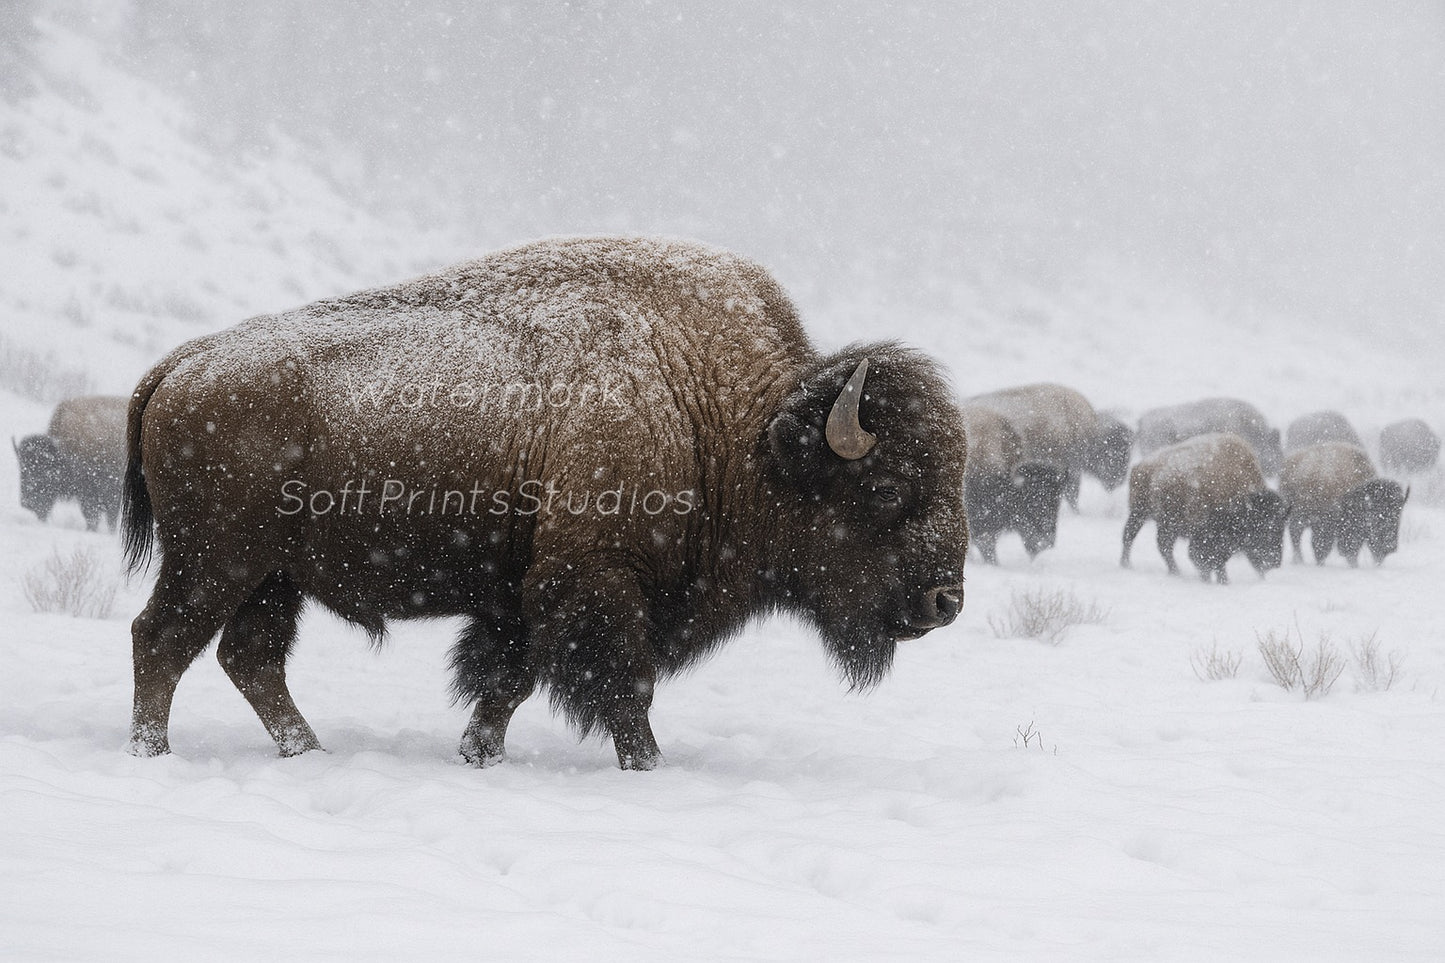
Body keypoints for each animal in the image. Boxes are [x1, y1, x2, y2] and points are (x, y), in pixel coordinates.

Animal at [121, 236, 970, 770]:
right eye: (887, 489)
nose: (945, 601)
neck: (727, 418)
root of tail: (184, 361)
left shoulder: (523, 600)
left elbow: (507, 682)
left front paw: (479, 754)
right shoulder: (595, 582)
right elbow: (622, 685)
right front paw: (647, 764)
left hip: (272, 576)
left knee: (248, 656)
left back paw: (309, 749)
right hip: (218, 562)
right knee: (162, 639)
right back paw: (153, 751)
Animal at [1121, 432, 1290, 583]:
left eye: (1282, 527)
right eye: (1264, 528)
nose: (1274, 562)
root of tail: (1141, 466)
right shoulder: (1206, 535)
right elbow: (1208, 559)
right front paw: (1218, 581)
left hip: (1167, 524)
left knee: (1163, 546)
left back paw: (1174, 572)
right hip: (1139, 512)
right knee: (1130, 536)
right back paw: (1127, 565)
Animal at [1280, 442, 1408, 566]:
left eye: (1398, 514)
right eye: (1376, 517)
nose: (1390, 547)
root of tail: (1288, 463)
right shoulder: (1327, 525)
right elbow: (1323, 548)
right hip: (1297, 518)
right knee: (1296, 536)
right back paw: (1298, 560)